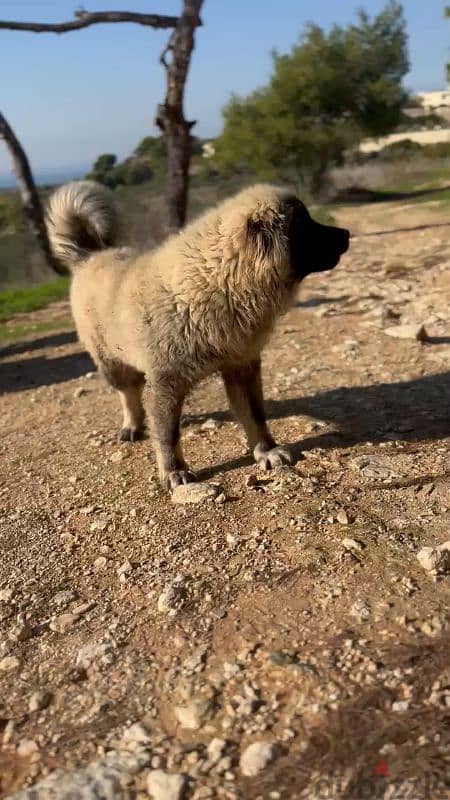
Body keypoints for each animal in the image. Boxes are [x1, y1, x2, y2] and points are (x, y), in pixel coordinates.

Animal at [45, 183, 350, 488]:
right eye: (305, 225)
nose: (347, 234)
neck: (218, 278)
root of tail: (90, 255)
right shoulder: (166, 383)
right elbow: (168, 434)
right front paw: (174, 471)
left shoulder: (242, 367)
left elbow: (255, 415)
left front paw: (267, 450)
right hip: (111, 362)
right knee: (129, 394)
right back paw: (131, 425)